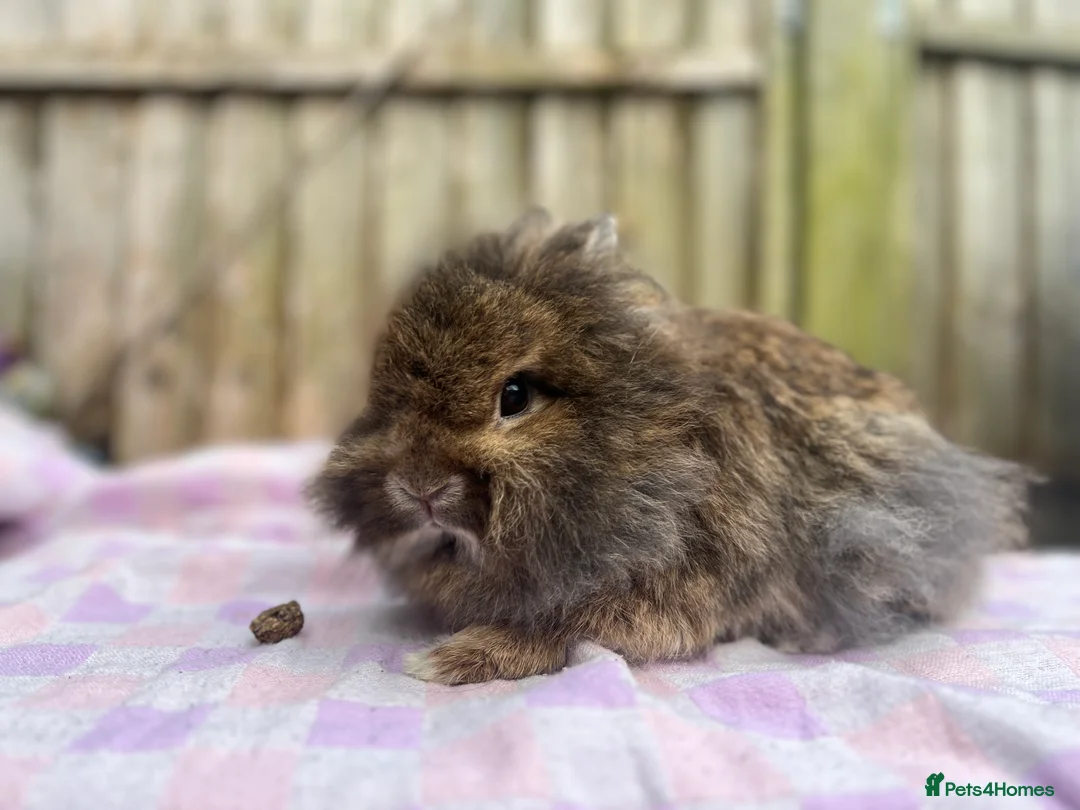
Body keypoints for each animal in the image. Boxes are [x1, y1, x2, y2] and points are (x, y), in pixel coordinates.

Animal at [307, 207, 1034, 685]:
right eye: (384, 396)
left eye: (514, 396)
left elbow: (558, 632)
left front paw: (442, 662)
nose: (420, 487)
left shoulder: (666, 595)